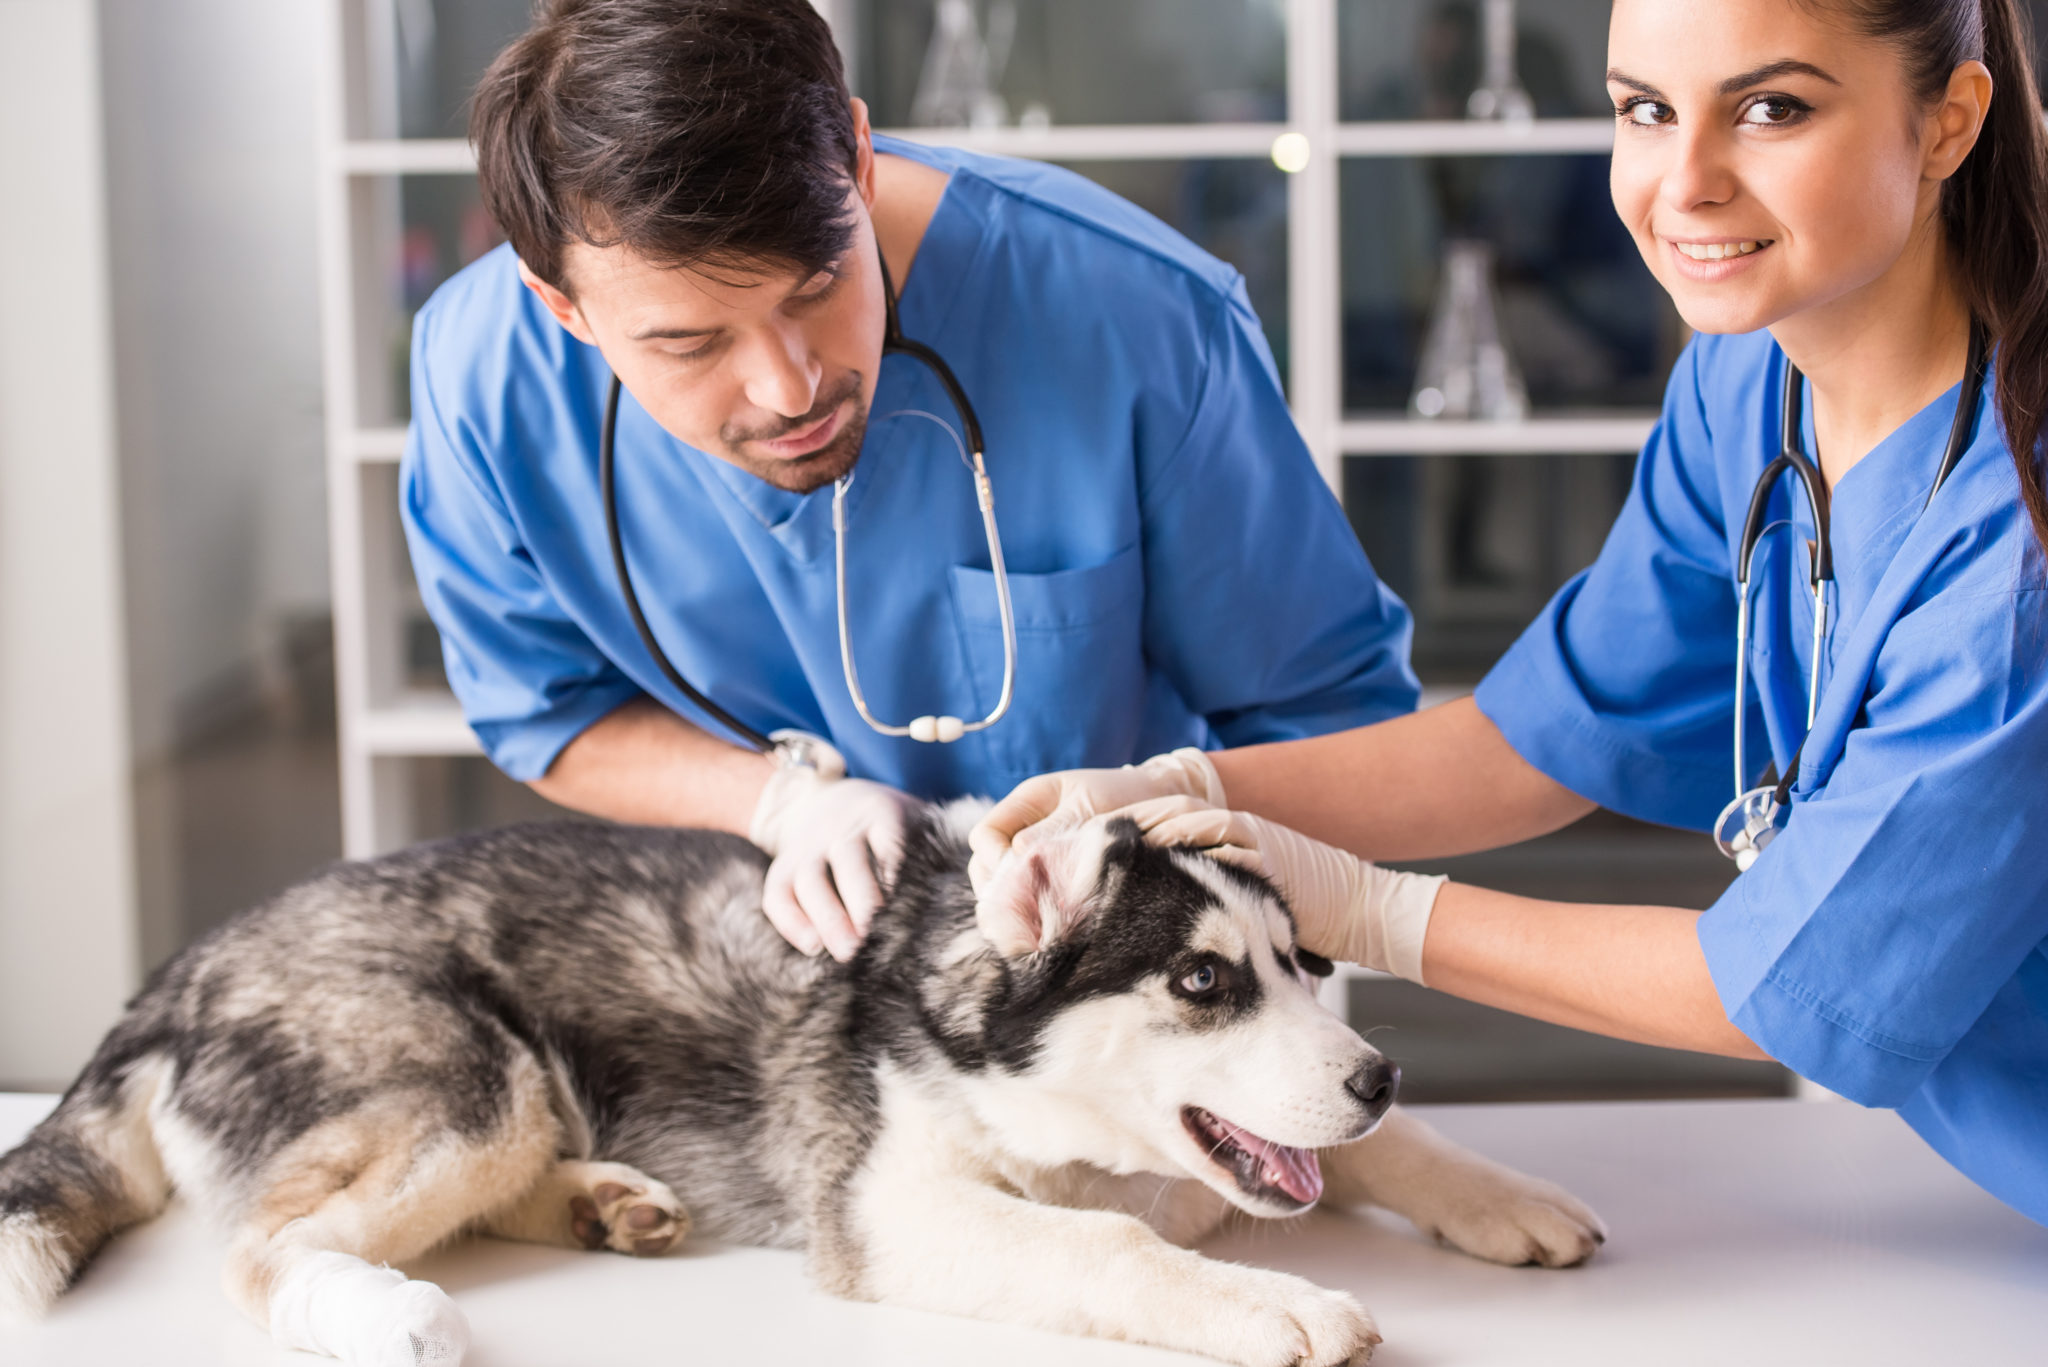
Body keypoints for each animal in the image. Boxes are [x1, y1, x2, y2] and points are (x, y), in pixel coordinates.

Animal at [0, 811, 1597, 1367]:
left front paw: (1504, 1192)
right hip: (472, 1078)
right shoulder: (888, 1212)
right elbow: (1108, 1242)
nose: (1377, 1072)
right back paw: (388, 1309)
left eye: (1304, 960)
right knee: (267, 1246)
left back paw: (607, 1204)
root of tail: (182, 961)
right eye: (1202, 981)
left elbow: (1380, 1155)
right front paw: (1274, 1301)